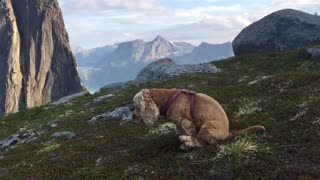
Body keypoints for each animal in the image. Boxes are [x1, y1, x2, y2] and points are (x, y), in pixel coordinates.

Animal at [132, 88, 264, 149]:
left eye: (137, 107)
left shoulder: (186, 122)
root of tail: (227, 133)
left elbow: (192, 134)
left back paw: (186, 141)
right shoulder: (179, 124)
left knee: (202, 142)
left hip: (207, 126)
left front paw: (187, 139)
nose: (133, 118)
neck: (168, 99)